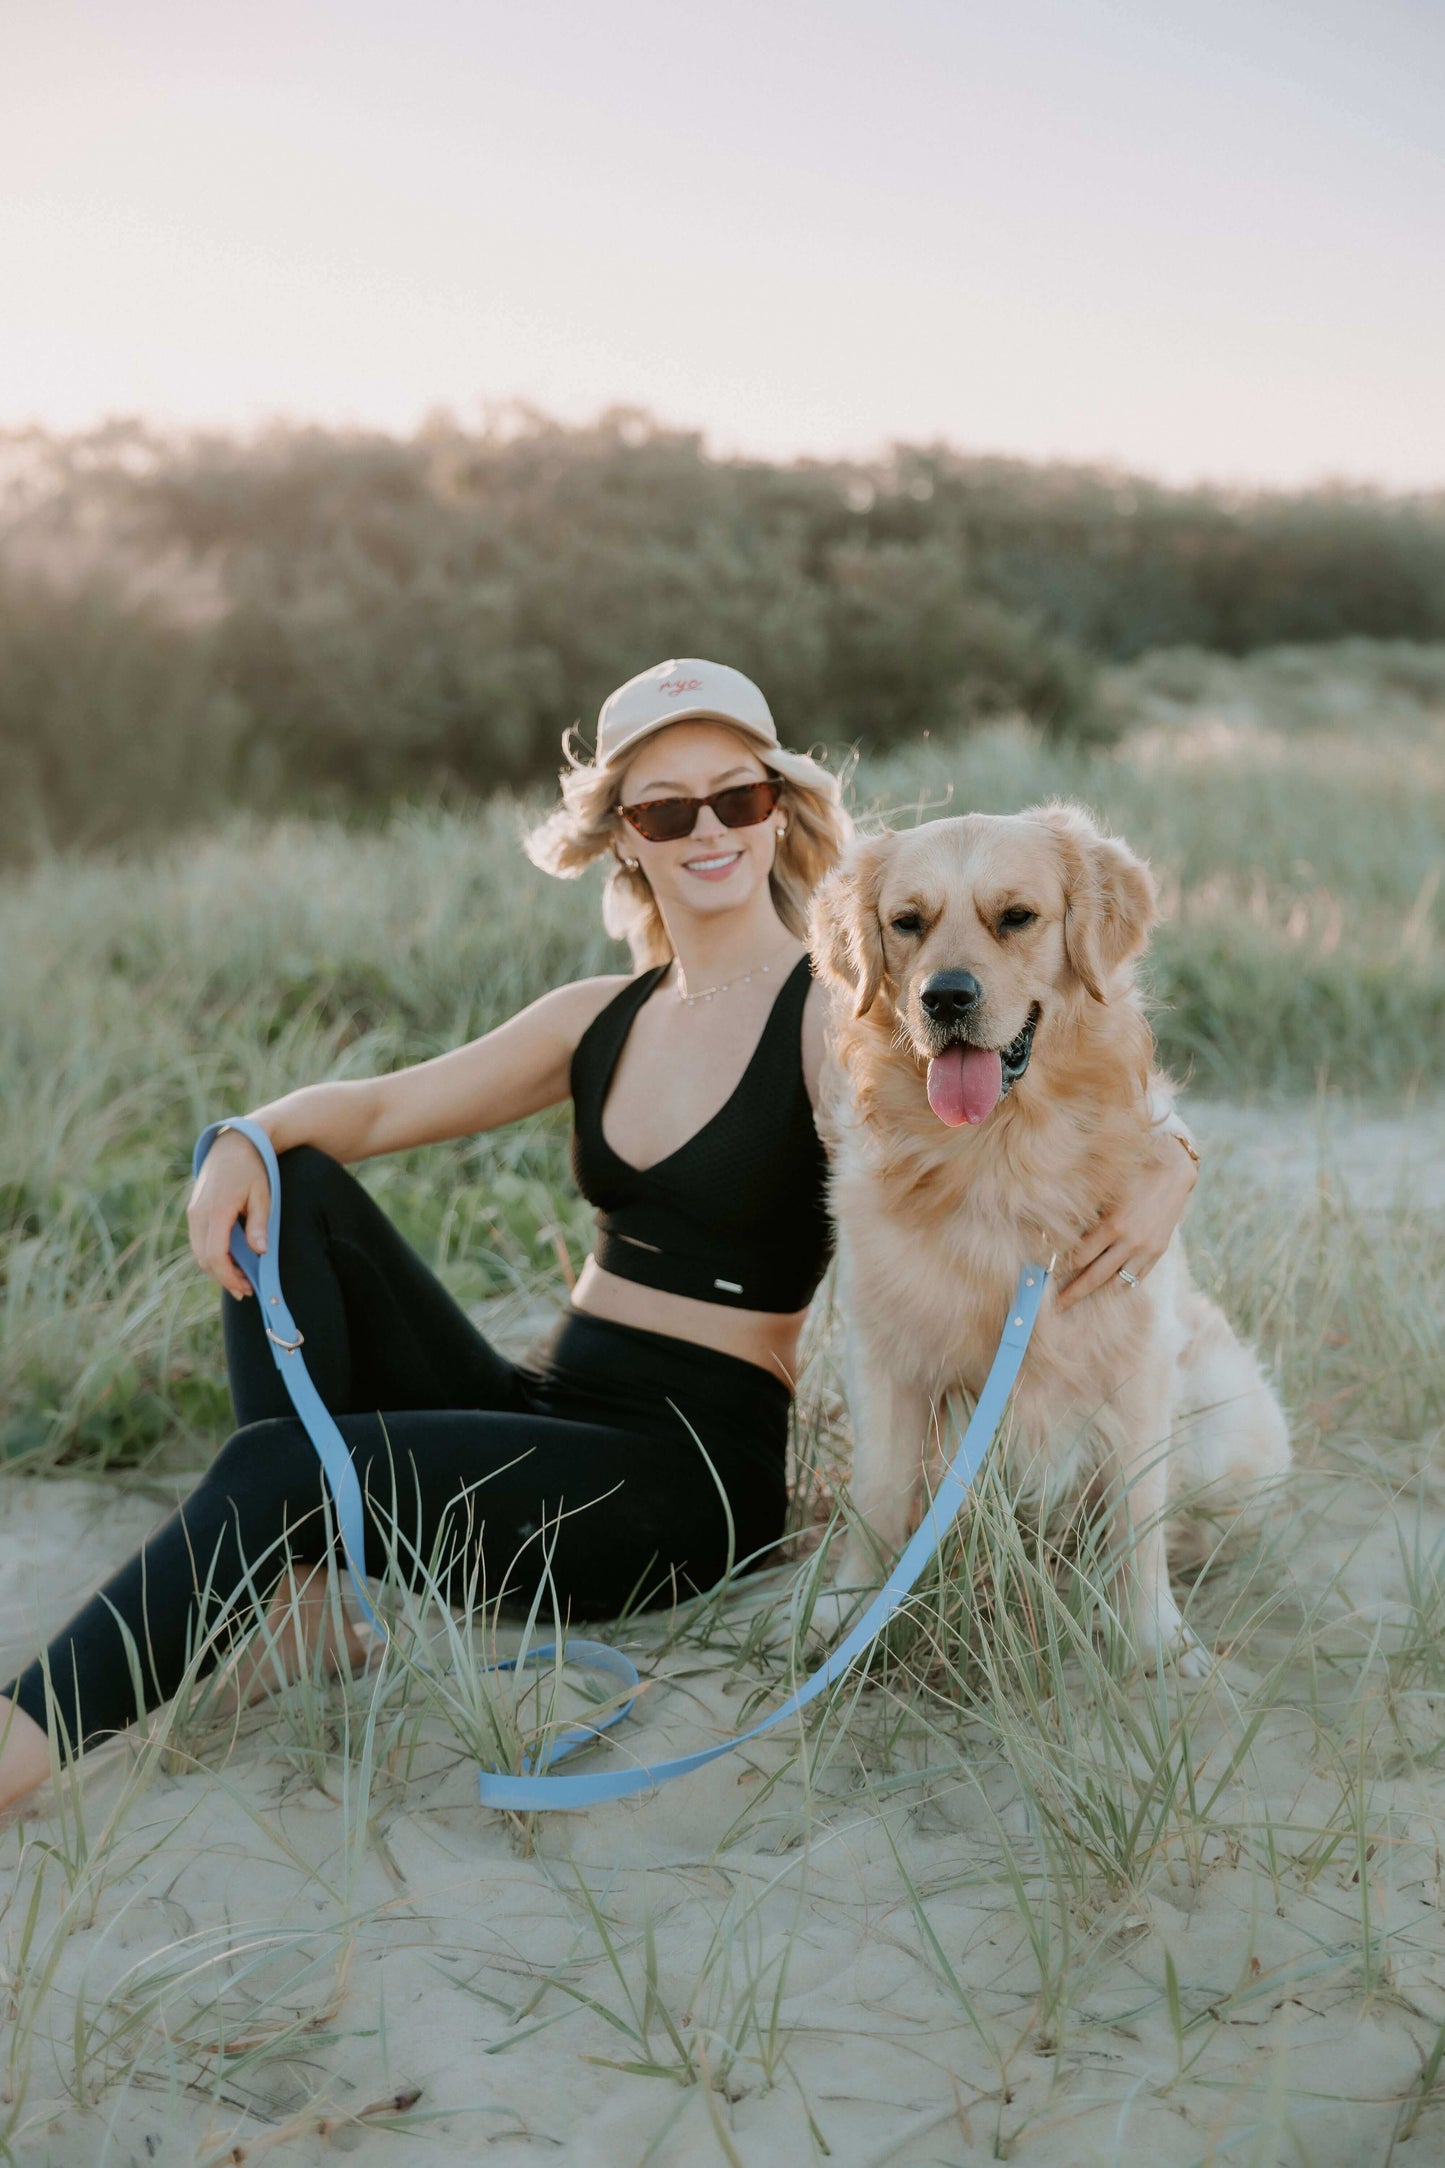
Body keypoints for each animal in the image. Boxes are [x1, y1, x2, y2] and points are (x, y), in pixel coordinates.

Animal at [810, 806, 1291, 1665]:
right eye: (907, 922)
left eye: (1016, 917)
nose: (944, 997)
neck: (997, 1157)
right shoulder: (883, 1352)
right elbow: (878, 1493)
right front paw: (848, 1616)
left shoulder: (1134, 1358)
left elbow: (1138, 1513)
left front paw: (1154, 1641)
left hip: (1231, 1427)